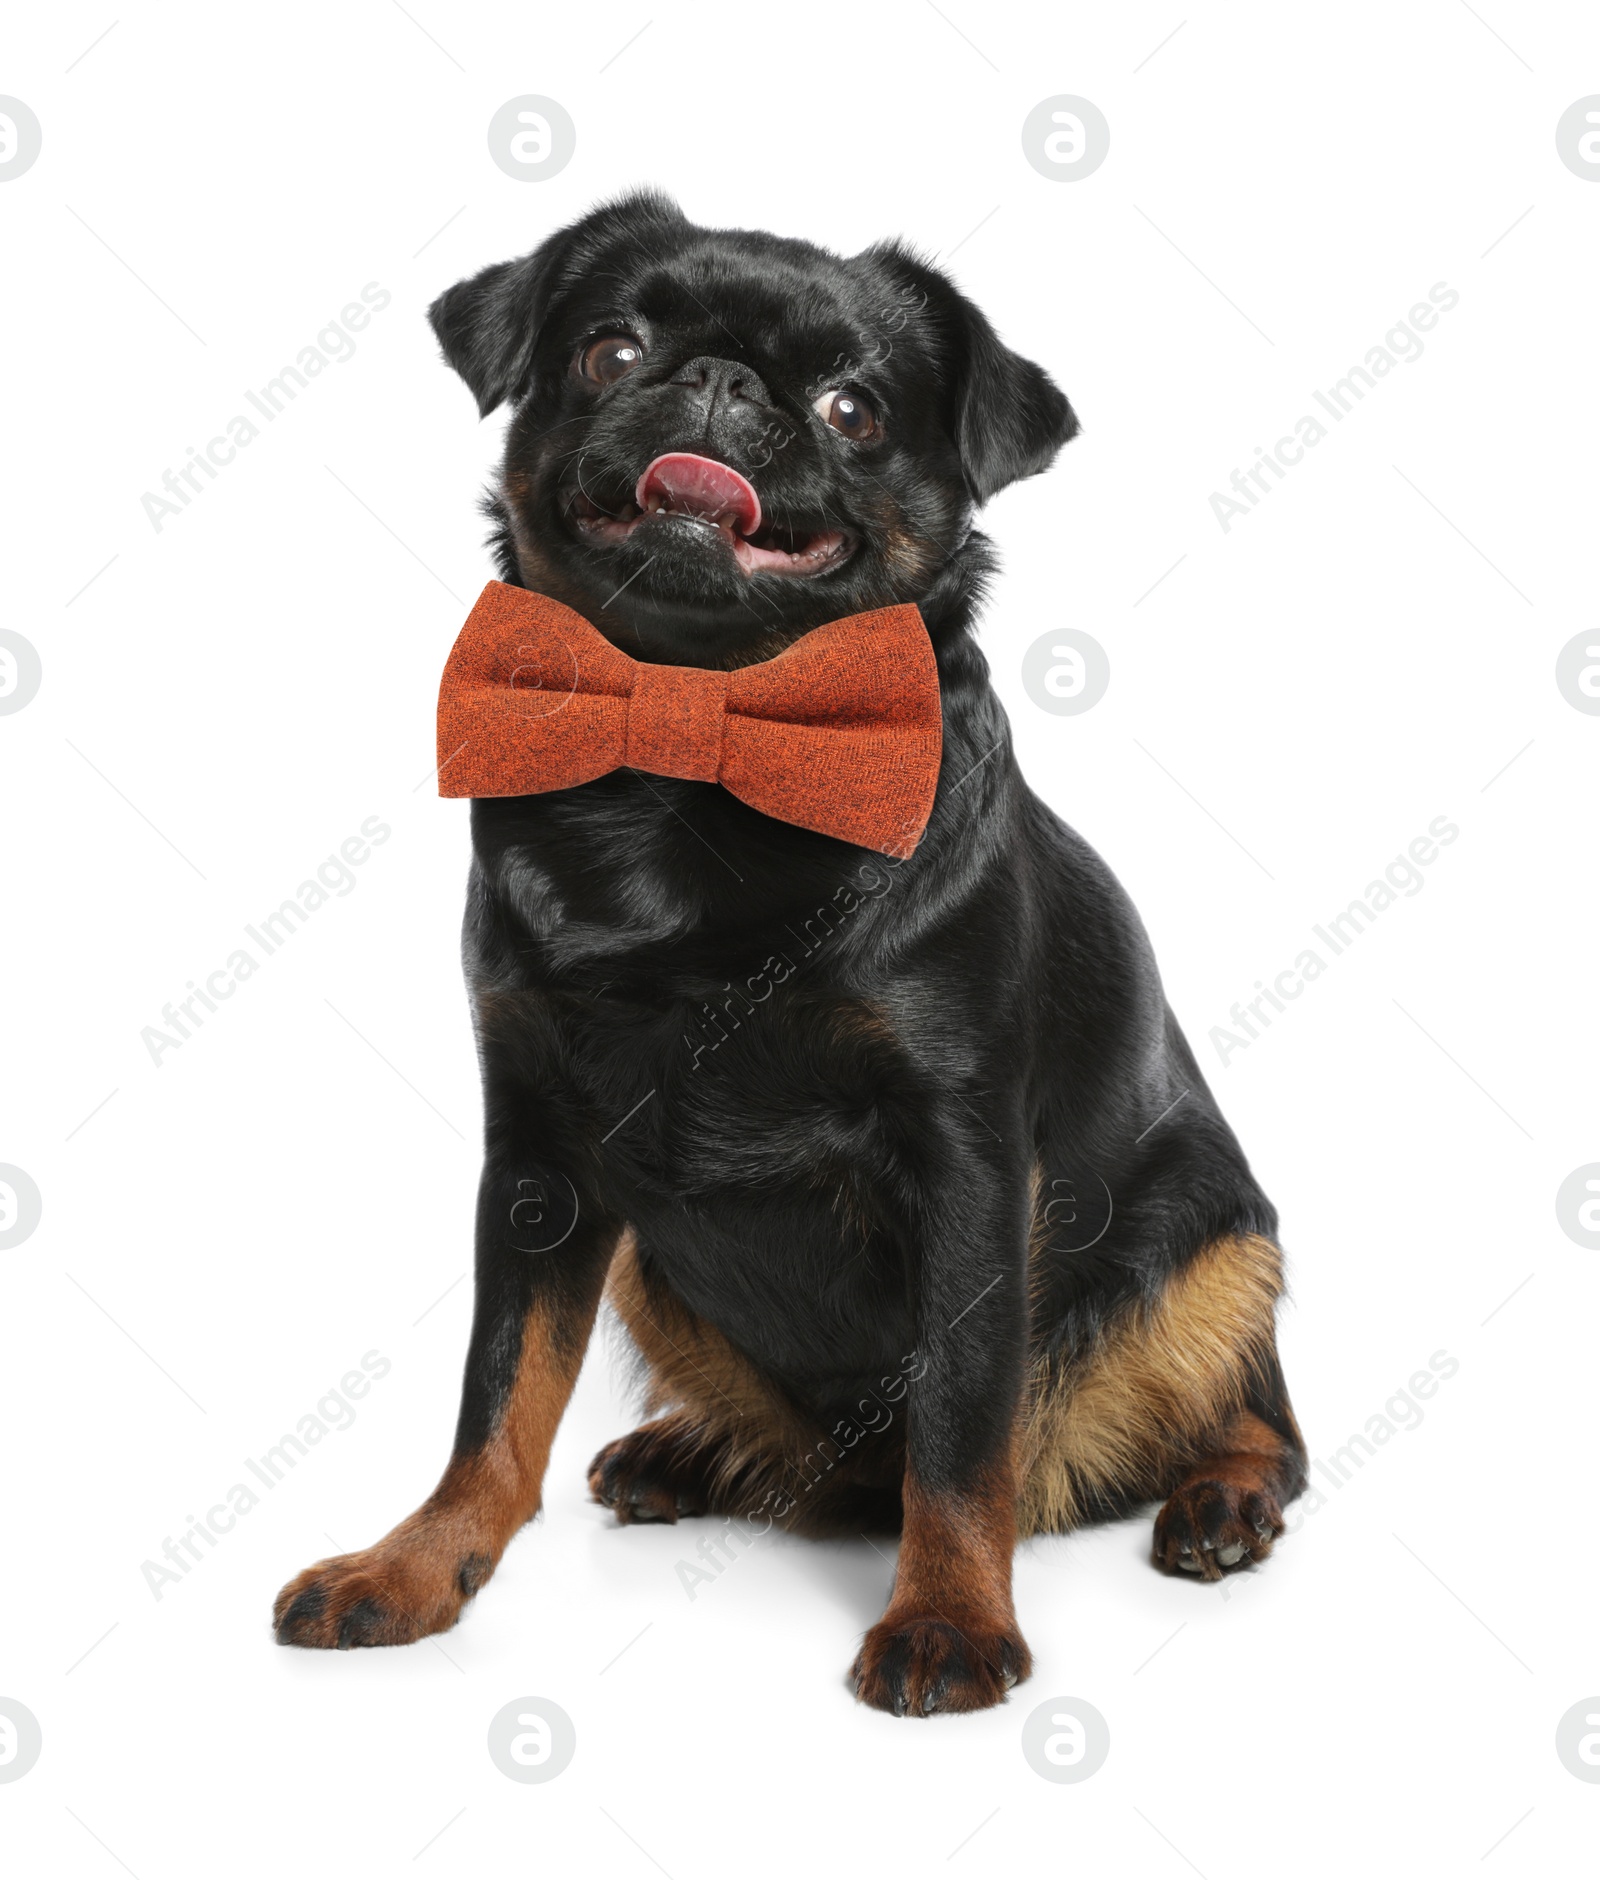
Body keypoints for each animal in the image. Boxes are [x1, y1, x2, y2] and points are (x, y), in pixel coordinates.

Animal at [272, 194, 1301, 1722]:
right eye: (609, 347)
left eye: (852, 409)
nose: (718, 380)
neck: (692, 735)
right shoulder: (536, 1159)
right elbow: (497, 1391)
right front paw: (418, 1564)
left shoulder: (968, 1164)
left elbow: (960, 1422)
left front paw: (949, 1616)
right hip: (649, 1261)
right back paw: (690, 1451)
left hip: (1217, 1242)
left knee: (1252, 1415)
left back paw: (1220, 1502)